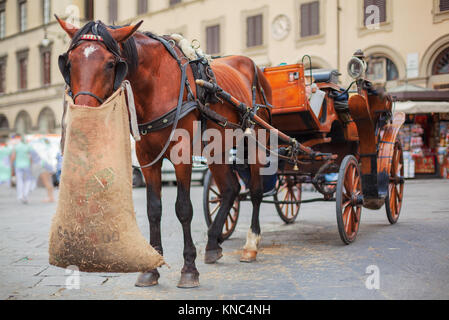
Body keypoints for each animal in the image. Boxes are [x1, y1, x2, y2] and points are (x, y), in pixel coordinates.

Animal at [56, 16, 272, 288]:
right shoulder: (147, 158)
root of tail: (254, 67)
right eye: (69, 63)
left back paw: (251, 244)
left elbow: (183, 209)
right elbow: (153, 209)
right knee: (230, 189)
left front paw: (189, 268)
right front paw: (151, 268)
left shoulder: (182, 154)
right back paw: (213, 244)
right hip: (218, 149)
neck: (154, 84)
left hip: (255, 141)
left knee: (255, 191)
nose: (83, 118)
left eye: (110, 64)